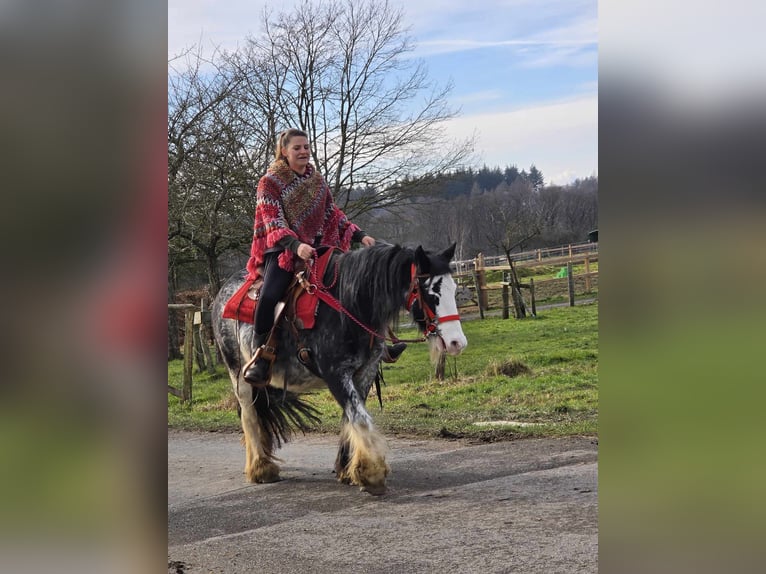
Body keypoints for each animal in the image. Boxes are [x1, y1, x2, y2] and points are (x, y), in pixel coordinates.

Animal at [213, 243, 472, 496]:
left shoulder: (364, 372)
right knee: (249, 414)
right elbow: (360, 418)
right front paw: (372, 474)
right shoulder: (335, 374)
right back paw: (261, 469)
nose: (457, 343)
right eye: (432, 293)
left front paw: (348, 469)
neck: (348, 307)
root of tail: (220, 296)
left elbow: (352, 417)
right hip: (238, 374)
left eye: (453, 288)